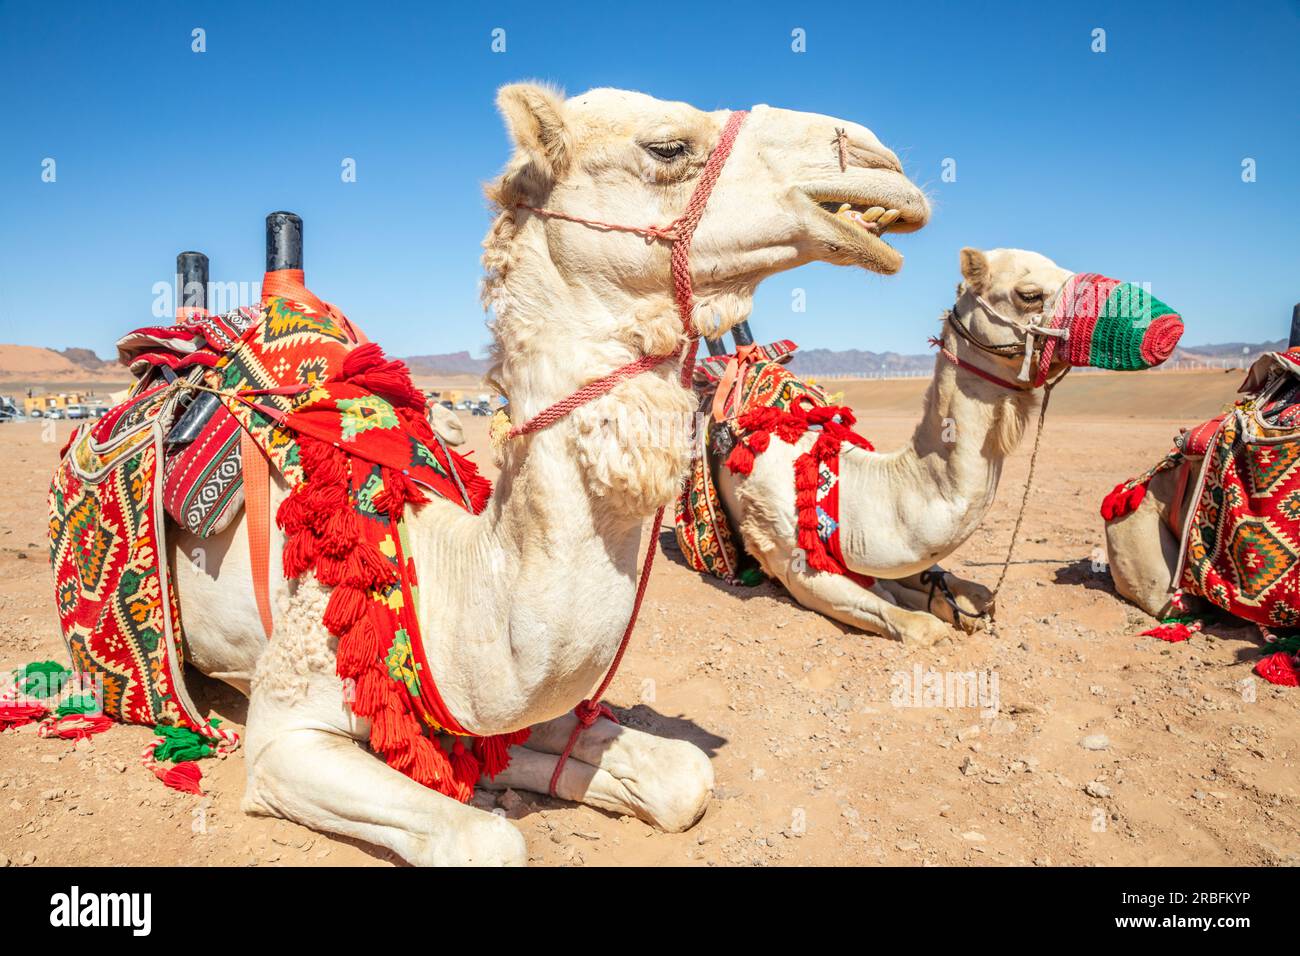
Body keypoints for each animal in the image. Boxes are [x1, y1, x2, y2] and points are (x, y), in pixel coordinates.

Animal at [165, 83, 935, 868]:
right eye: (667, 147)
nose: (877, 159)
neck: (432, 577)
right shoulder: (283, 732)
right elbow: (485, 840)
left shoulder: (509, 698)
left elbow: (680, 775)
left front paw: (513, 771)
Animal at [712, 251, 1180, 647]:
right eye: (1029, 294)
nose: (1167, 325)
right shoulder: (795, 563)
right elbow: (918, 624)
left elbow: (965, 589)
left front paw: (958, 606)